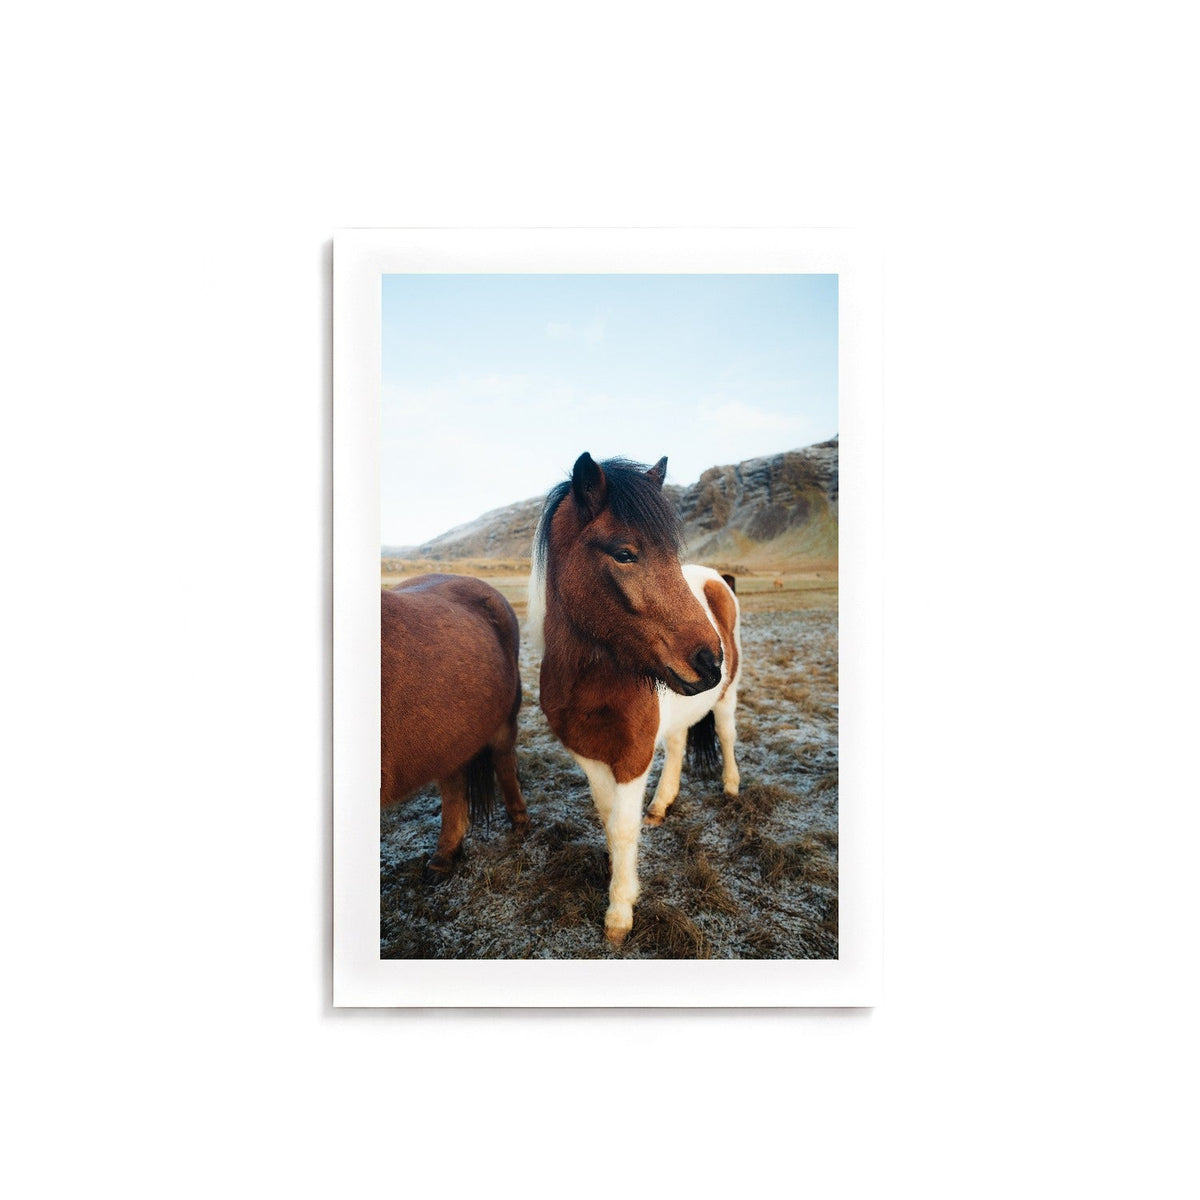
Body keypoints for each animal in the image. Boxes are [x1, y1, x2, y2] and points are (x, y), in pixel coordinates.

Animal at [381, 574, 529, 880]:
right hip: (450, 737)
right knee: (454, 784)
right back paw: (445, 856)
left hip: (504, 721)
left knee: (504, 762)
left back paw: (519, 819)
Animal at [529, 453, 742, 945]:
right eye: (624, 553)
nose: (710, 662)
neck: (591, 682)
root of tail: (717, 579)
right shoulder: (588, 753)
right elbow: (609, 819)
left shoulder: (633, 756)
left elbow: (623, 828)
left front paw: (620, 909)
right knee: (680, 746)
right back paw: (662, 805)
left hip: (727, 698)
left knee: (726, 735)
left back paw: (731, 787)